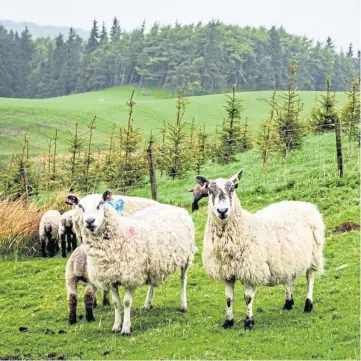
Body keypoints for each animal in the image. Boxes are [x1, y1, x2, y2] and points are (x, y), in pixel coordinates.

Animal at [76, 191, 194, 334]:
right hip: (153, 263)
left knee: (183, 279)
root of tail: (175, 207)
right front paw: (116, 326)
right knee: (153, 282)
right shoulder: (111, 278)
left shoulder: (131, 276)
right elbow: (116, 303)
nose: (89, 221)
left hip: (187, 256)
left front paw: (126, 328)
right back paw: (147, 304)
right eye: (80, 206)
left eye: (100, 203)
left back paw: (183, 304)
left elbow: (126, 302)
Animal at [195, 168, 324, 330]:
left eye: (233, 188)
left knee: (310, 278)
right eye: (210, 190)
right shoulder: (227, 272)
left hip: (314, 254)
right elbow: (229, 299)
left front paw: (249, 322)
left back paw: (308, 305)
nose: (222, 210)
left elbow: (248, 298)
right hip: (288, 258)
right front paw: (228, 322)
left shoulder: (251, 270)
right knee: (289, 280)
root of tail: (306, 204)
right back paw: (288, 303)